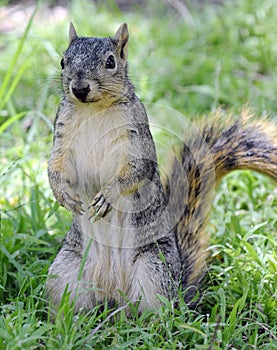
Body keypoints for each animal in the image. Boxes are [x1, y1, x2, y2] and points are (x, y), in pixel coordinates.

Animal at [45, 22, 276, 314]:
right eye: (63, 61)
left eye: (110, 61)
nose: (79, 88)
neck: (94, 110)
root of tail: (112, 295)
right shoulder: (63, 134)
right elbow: (55, 165)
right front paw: (63, 194)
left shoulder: (137, 138)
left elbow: (137, 171)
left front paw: (108, 195)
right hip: (65, 271)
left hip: (154, 267)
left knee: (158, 312)